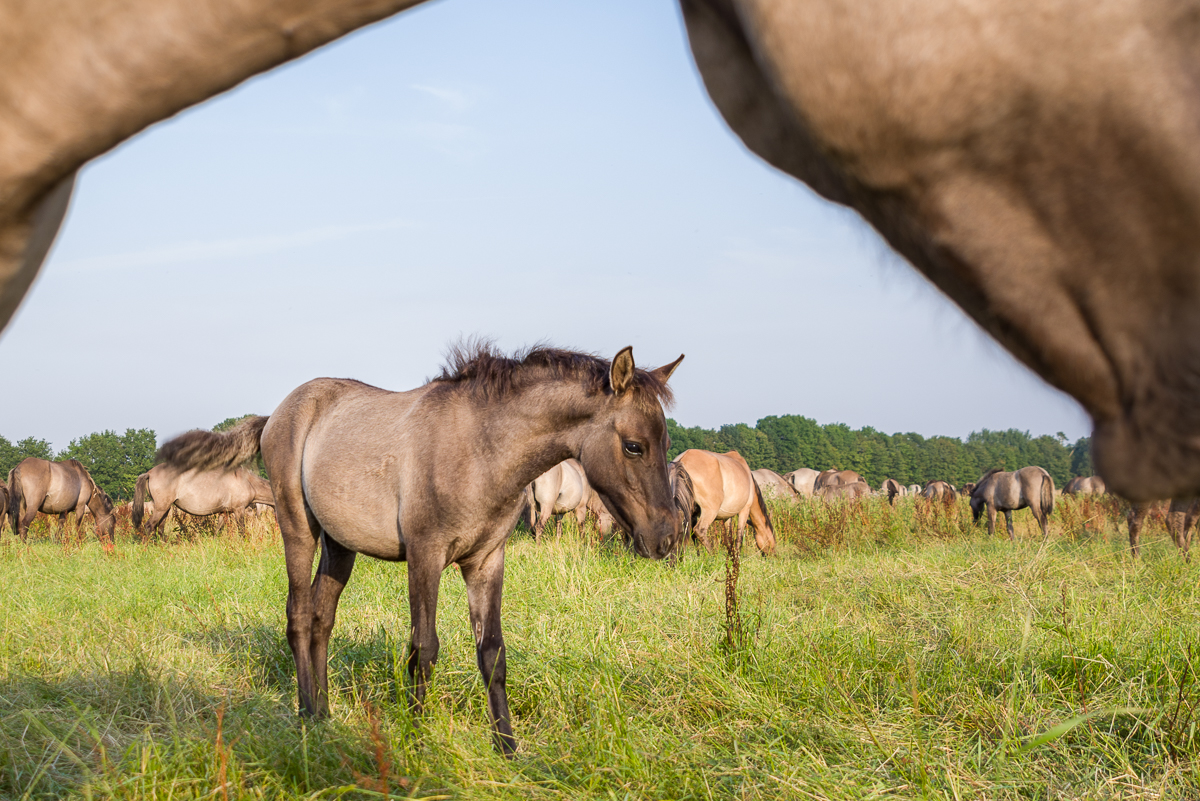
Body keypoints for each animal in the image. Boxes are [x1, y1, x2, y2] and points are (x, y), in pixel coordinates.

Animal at [132, 462, 274, 537]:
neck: (248, 482)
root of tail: (149, 473)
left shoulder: (224, 512)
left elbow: (217, 531)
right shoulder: (239, 510)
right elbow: (242, 530)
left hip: (165, 508)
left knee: (160, 528)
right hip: (161, 508)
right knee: (149, 526)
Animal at [159, 345, 686, 757]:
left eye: (664, 442)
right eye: (634, 446)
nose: (665, 538)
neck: (482, 449)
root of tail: (276, 416)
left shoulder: (486, 561)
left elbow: (492, 652)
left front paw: (508, 748)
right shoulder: (425, 555)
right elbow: (424, 647)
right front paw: (416, 741)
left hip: (340, 545)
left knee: (321, 617)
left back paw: (326, 714)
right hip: (298, 529)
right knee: (297, 614)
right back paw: (306, 713)